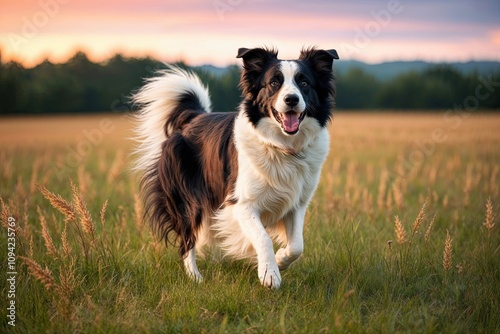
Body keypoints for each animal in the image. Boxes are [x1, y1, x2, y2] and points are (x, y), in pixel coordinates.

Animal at [133, 47, 338, 290]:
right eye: (274, 83)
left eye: (304, 82)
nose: (291, 99)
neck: (283, 147)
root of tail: (194, 117)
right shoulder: (241, 204)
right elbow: (263, 237)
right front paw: (269, 274)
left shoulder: (297, 203)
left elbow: (297, 245)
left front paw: (280, 260)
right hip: (187, 202)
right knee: (186, 241)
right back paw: (195, 278)